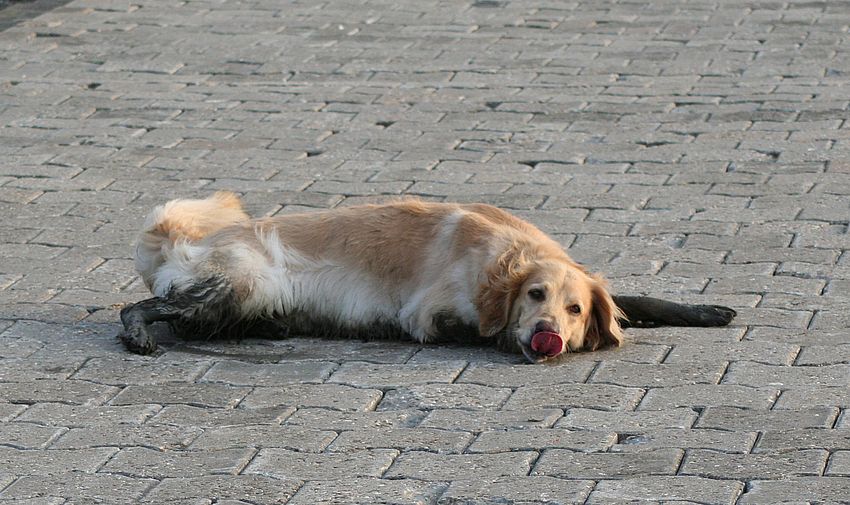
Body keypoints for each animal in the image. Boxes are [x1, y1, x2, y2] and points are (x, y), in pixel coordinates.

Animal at [118, 192, 736, 363]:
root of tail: (180, 237)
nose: (548, 335)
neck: (501, 257)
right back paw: (140, 336)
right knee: (144, 310)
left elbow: (637, 298)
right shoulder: (427, 316)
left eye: (575, 309)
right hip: (243, 281)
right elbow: (484, 332)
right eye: (534, 296)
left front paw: (708, 311)